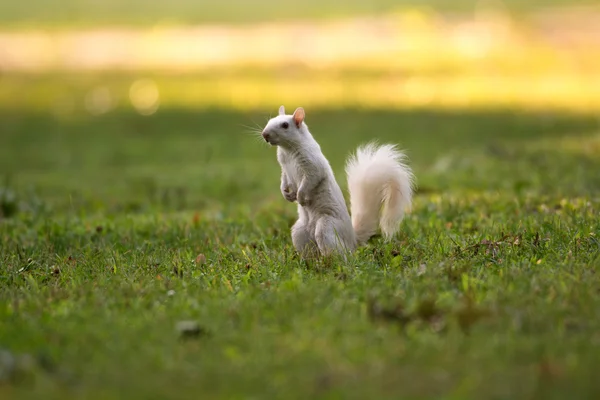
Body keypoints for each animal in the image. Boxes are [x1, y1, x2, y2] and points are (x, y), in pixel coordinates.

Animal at [260, 104, 414, 258]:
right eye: (270, 120)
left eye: (285, 125)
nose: (264, 134)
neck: (288, 150)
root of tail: (352, 240)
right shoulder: (284, 168)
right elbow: (284, 180)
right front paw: (286, 194)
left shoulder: (313, 166)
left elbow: (311, 180)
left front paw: (300, 197)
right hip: (299, 232)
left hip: (326, 227)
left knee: (341, 253)